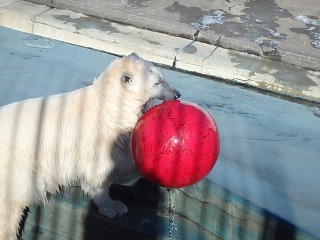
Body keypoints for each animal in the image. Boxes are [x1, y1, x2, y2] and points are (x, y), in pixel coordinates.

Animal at [0, 52, 180, 238]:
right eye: (157, 82)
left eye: (163, 77)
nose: (177, 94)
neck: (109, 104)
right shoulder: (97, 138)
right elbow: (101, 175)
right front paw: (115, 207)